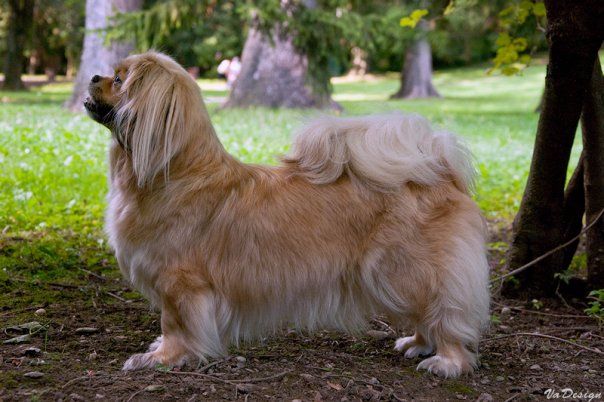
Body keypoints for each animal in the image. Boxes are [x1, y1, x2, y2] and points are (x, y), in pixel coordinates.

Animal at [84, 51, 490, 378]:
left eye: (119, 80)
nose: (92, 76)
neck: (176, 174)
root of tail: (440, 172)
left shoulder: (180, 285)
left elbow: (174, 325)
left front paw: (163, 358)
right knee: (428, 314)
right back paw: (418, 343)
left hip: (409, 271)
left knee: (445, 314)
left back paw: (447, 361)